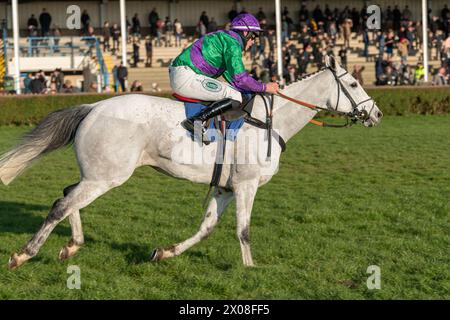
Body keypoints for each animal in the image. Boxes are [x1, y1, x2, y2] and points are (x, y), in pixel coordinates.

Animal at [0, 56, 382, 268]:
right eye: (352, 83)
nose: (376, 114)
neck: (269, 122)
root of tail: (93, 106)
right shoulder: (246, 185)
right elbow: (243, 230)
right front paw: (251, 269)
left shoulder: (225, 188)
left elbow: (206, 228)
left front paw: (164, 253)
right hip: (107, 176)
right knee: (61, 205)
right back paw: (24, 254)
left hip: (97, 174)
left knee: (67, 196)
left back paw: (71, 246)